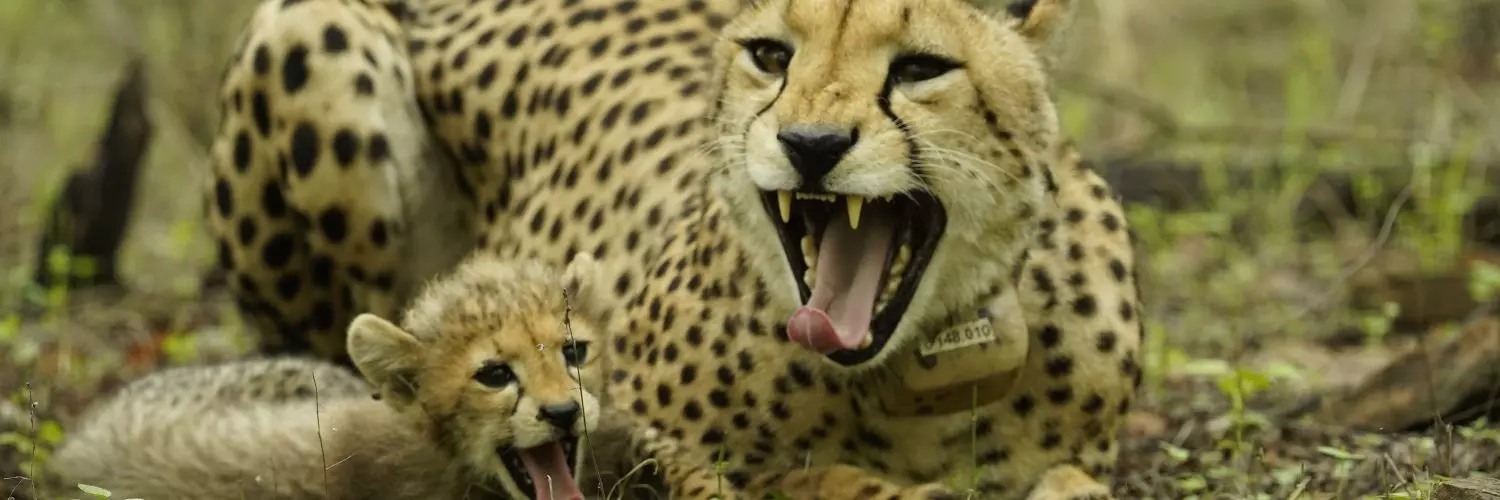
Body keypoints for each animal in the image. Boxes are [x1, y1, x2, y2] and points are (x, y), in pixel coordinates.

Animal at [203, 0, 1144, 498]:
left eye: (920, 68)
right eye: (770, 55)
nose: (809, 144)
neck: (909, 374)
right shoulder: (666, 445)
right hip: (310, 30)